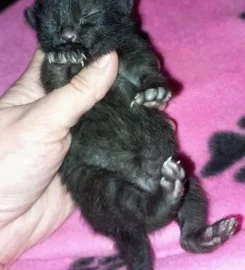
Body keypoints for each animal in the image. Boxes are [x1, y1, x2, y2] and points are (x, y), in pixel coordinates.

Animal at [25, 0, 238, 270]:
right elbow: (54, 78)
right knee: (140, 212)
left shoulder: (137, 51)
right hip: (96, 185)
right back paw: (165, 197)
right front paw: (63, 56)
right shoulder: (57, 90)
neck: (92, 59)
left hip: (190, 181)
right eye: (52, 23)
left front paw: (154, 93)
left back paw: (206, 235)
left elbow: (147, 71)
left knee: (186, 227)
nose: (68, 35)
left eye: (89, 14)